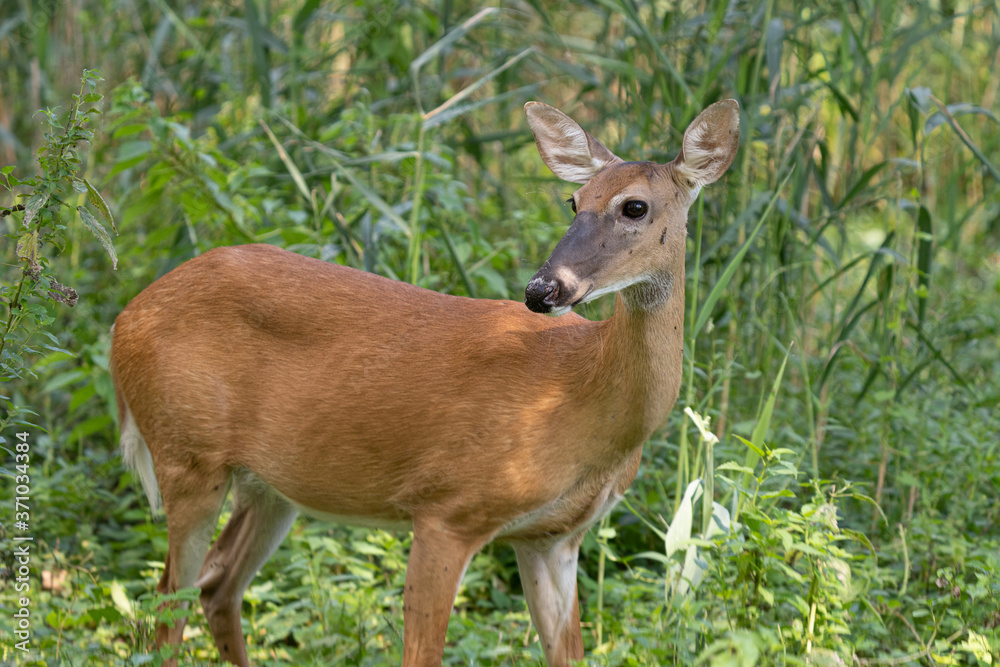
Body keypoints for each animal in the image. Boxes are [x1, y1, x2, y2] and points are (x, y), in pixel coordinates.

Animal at [109, 96, 740, 664]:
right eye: (573, 200)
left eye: (634, 207)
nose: (542, 289)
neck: (580, 394)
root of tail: (123, 322)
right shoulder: (446, 508)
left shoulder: (553, 538)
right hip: (187, 455)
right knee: (166, 607)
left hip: (268, 485)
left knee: (217, 587)